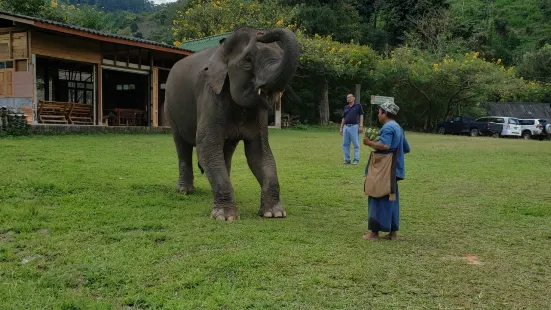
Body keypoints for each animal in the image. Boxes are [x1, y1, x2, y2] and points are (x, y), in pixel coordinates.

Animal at [164, 26, 302, 220]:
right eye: (248, 60)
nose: (261, 33)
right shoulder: (210, 97)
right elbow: (207, 147)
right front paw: (225, 217)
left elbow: (260, 153)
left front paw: (274, 213)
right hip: (170, 110)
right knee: (182, 145)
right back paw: (184, 191)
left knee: (225, 151)